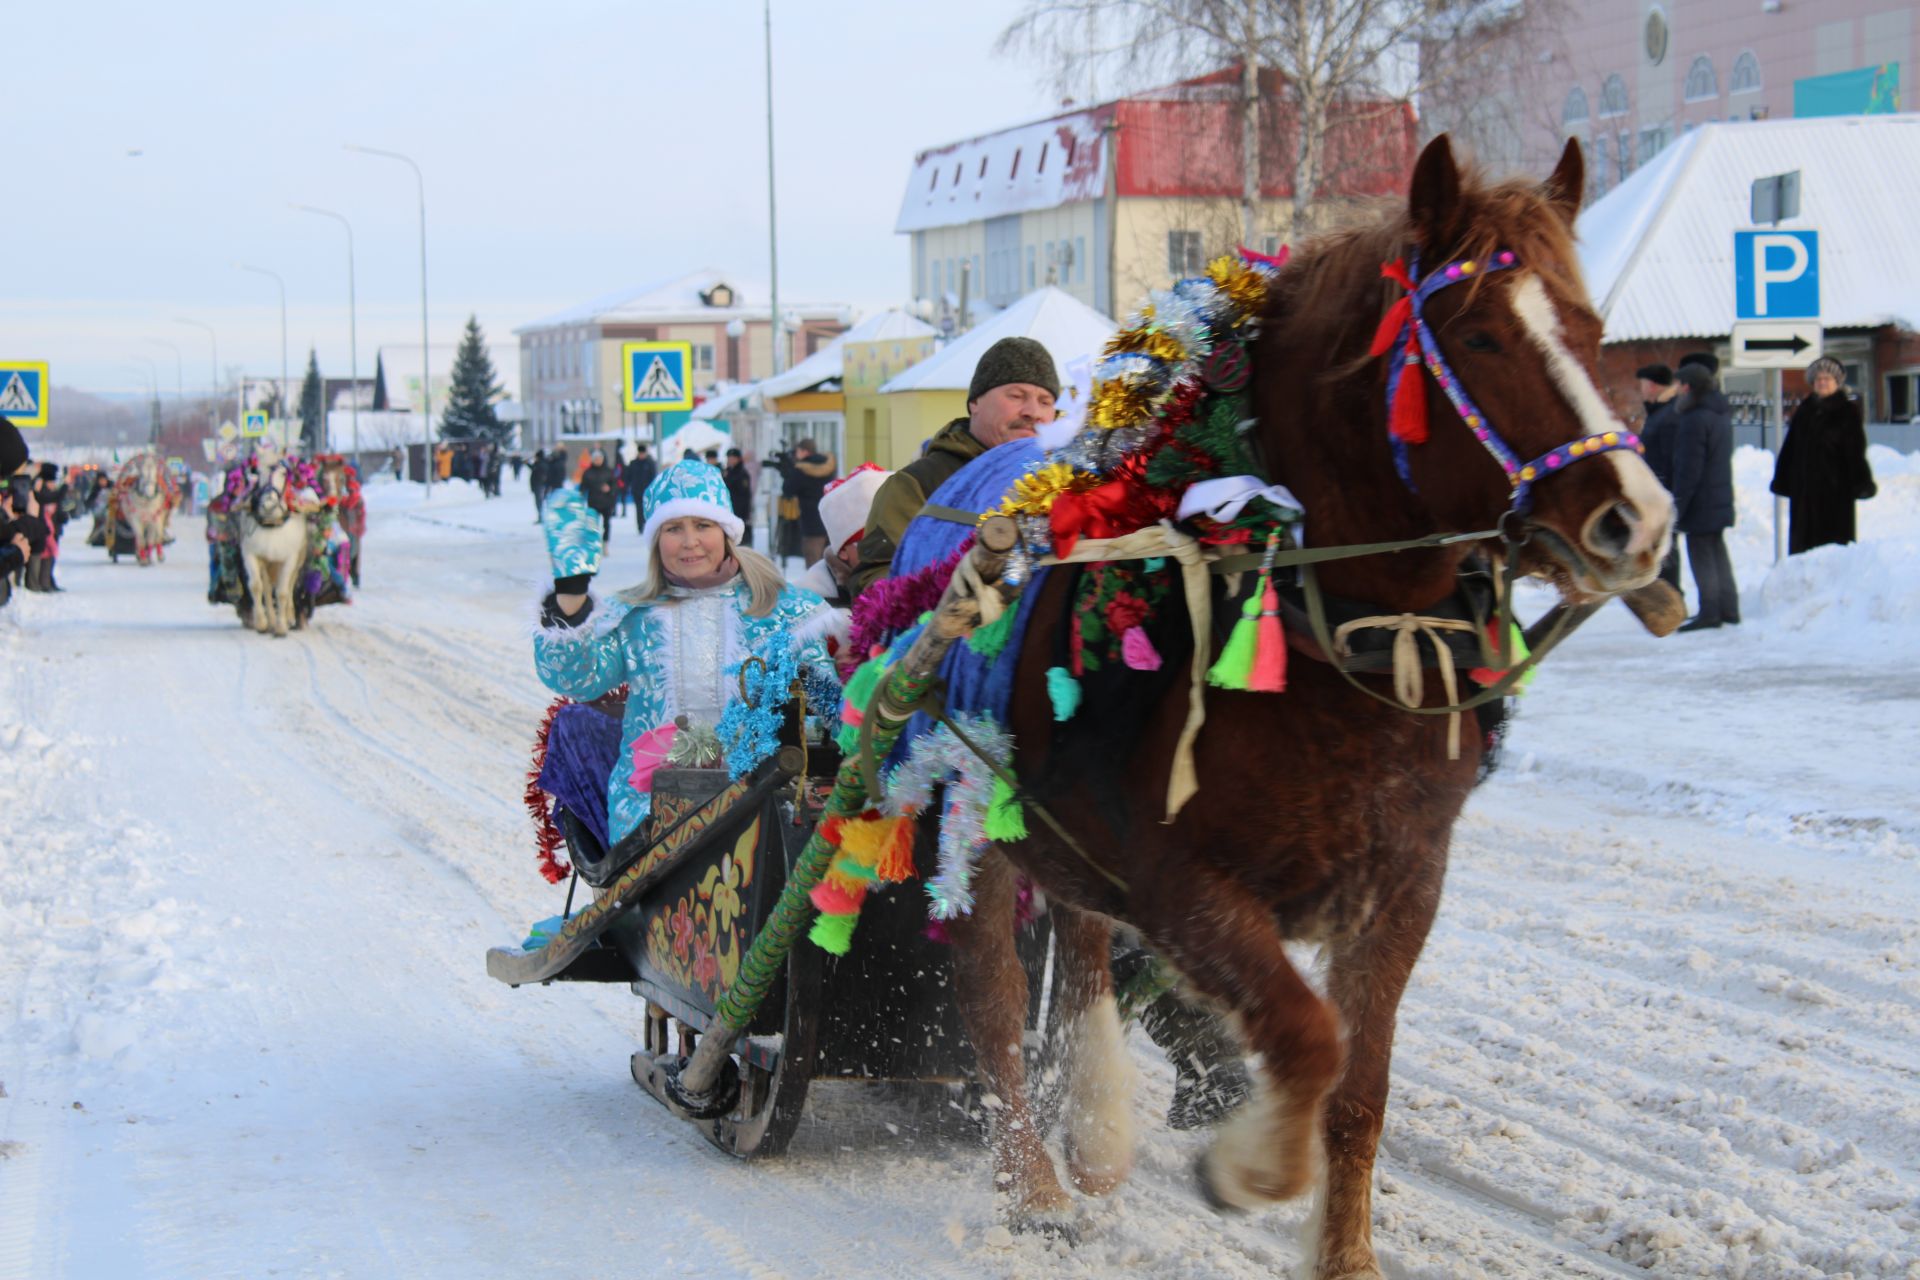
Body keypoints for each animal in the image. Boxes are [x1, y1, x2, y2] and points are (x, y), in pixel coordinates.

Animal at [234, 462, 309, 637]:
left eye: (283, 474)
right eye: (258, 472)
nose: (268, 505)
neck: (272, 524)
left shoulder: (289, 558)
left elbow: (282, 592)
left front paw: (282, 627)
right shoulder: (252, 554)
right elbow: (256, 586)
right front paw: (262, 623)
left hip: (298, 561)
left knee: (290, 585)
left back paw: (289, 617)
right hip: (267, 565)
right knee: (267, 590)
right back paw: (271, 621)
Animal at [944, 135, 1666, 1274]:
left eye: (1591, 330)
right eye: (1479, 333)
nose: (1635, 519)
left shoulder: (1403, 885)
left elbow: (1358, 1093)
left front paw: (1345, 1252)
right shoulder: (1180, 882)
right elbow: (1305, 1037)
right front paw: (1251, 1167)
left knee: (1080, 942)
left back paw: (1092, 1132)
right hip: (966, 812)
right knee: (992, 994)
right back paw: (1038, 1182)